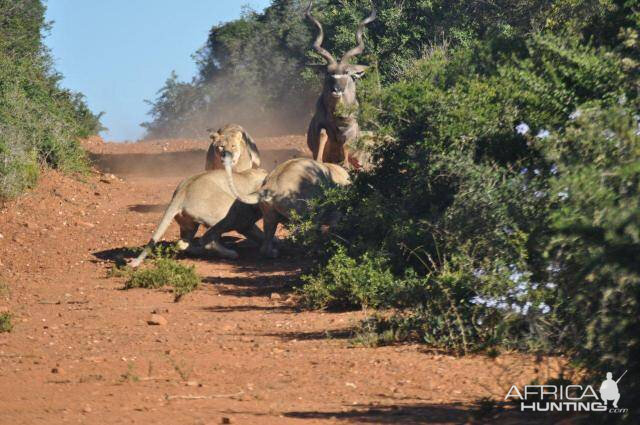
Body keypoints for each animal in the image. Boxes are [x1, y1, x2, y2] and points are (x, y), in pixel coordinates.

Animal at [129, 167, 268, 266]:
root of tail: (182, 192)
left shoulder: (247, 225)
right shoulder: (244, 223)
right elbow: (261, 235)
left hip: (189, 225)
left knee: (182, 243)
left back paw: (198, 251)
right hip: (226, 215)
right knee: (207, 240)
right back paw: (230, 253)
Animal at [221, 156, 350, 255]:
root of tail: (271, 186)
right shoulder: (332, 212)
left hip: (269, 214)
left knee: (267, 239)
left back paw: (274, 252)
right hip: (303, 211)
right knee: (306, 231)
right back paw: (310, 249)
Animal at [304, 0, 376, 168]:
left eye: (347, 73)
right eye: (328, 73)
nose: (336, 89)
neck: (336, 115)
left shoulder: (350, 128)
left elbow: (346, 141)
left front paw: (346, 164)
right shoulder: (320, 125)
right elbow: (323, 134)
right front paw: (318, 161)